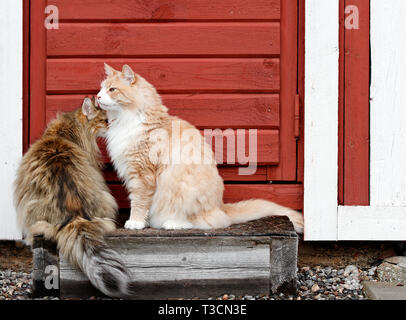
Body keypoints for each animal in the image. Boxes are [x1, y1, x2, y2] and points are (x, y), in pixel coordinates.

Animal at [13, 97, 133, 298]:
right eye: (105, 121)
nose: (112, 126)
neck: (64, 132)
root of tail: (75, 214)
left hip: (29, 209)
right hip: (106, 197)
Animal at [96, 63, 302, 232]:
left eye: (112, 89)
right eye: (101, 89)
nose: (97, 97)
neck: (129, 120)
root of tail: (220, 206)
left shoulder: (141, 174)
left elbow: (138, 201)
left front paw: (136, 222)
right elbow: (142, 203)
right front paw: (143, 222)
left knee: (204, 222)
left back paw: (173, 224)